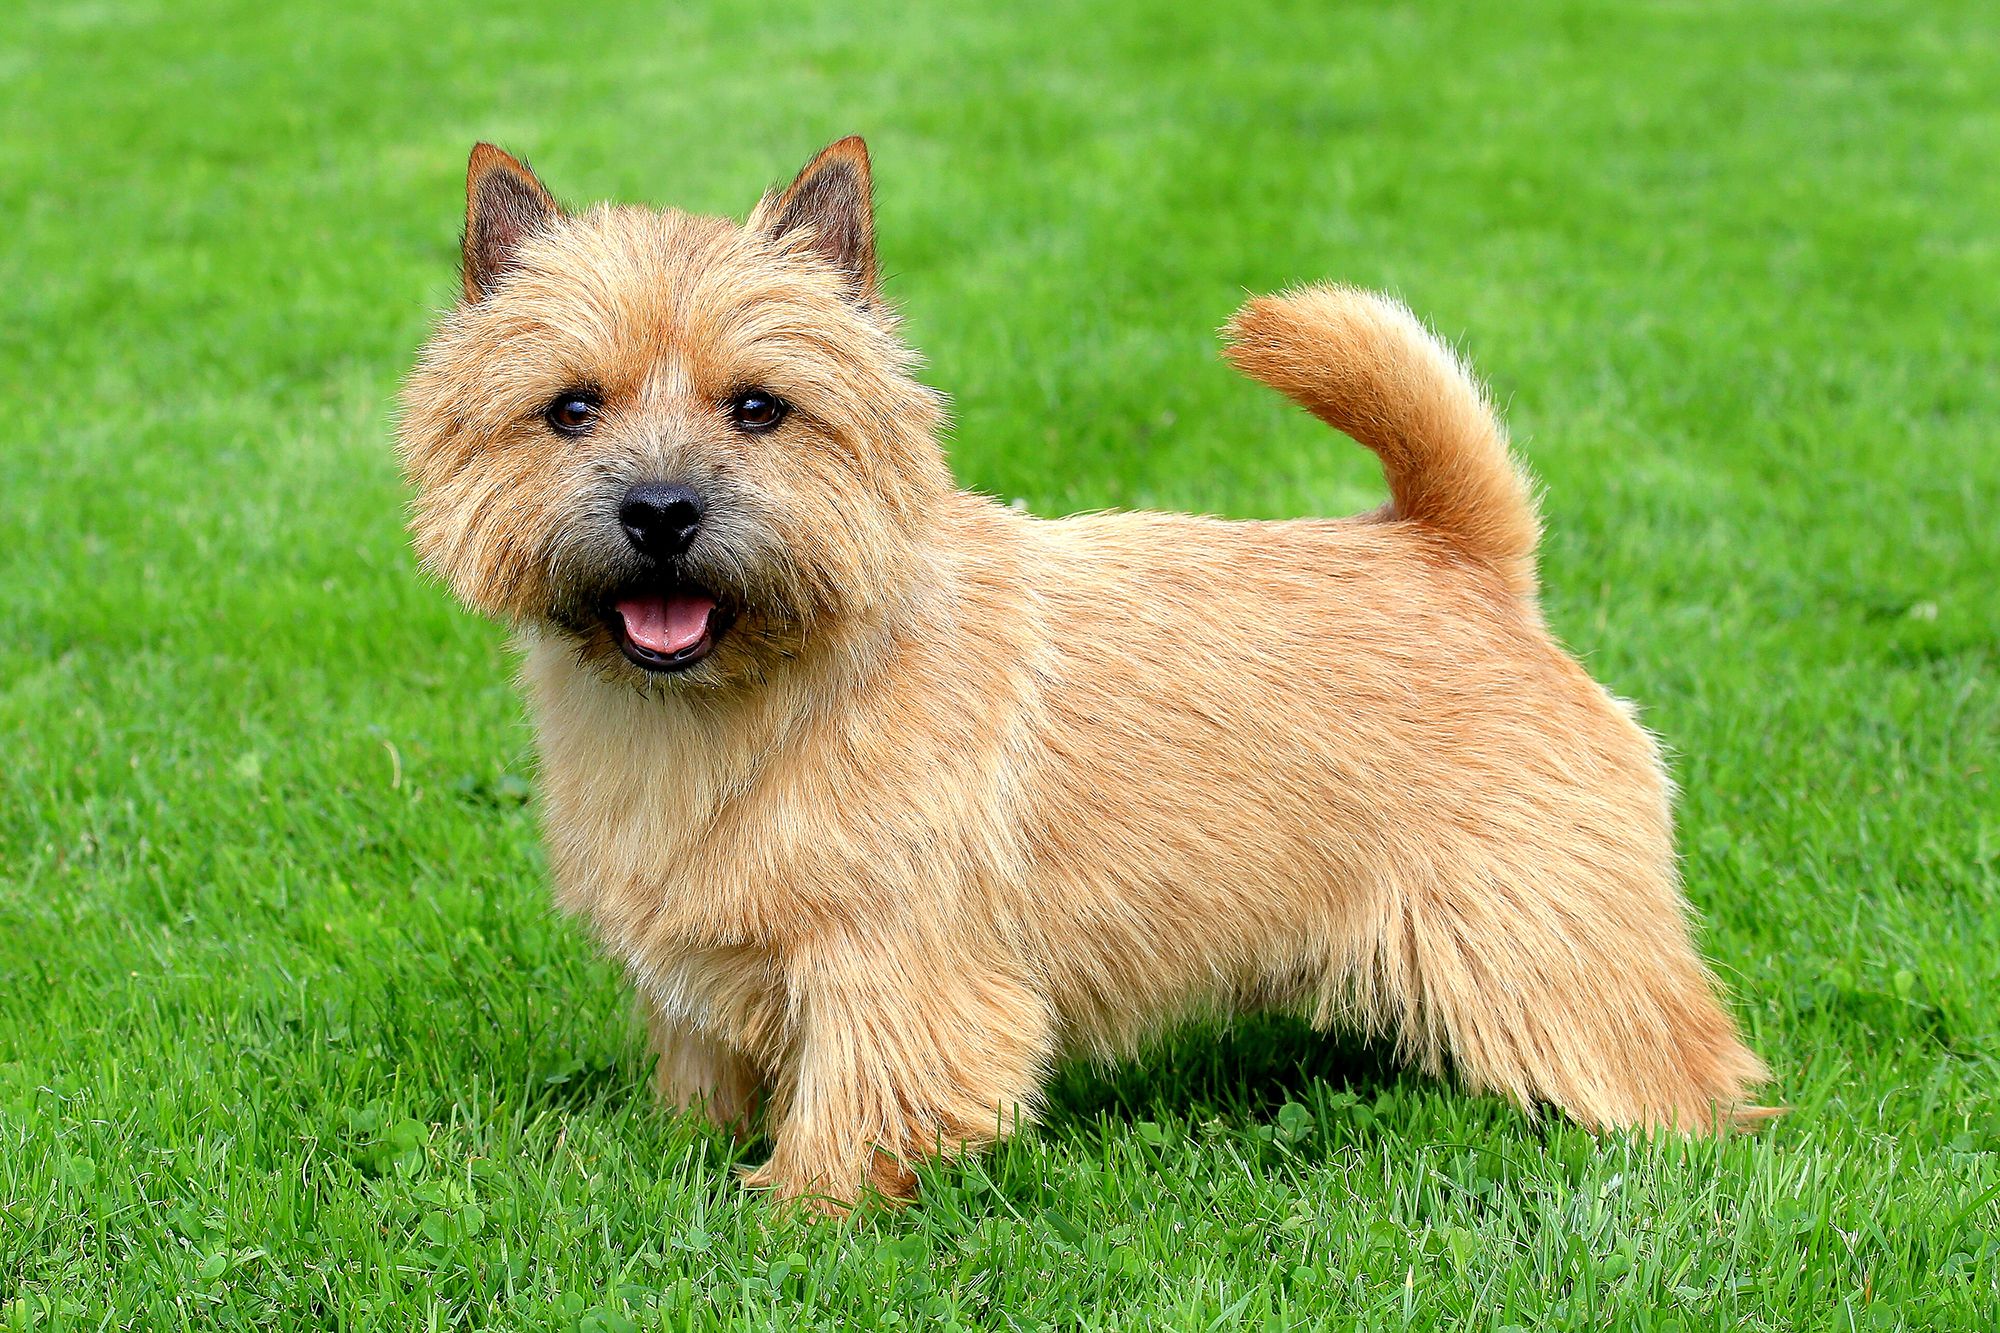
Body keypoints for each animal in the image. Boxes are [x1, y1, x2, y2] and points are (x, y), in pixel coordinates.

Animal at [394, 140, 1768, 1208]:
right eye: (571, 408)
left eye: (759, 408)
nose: (661, 509)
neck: (732, 707)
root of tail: (1458, 552)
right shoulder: (700, 967)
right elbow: (700, 1072)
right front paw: (677, 1149)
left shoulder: (891, 963)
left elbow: (856, 1103)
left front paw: (789, 1208)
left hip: (1541, 930)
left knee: (1661, 1058)